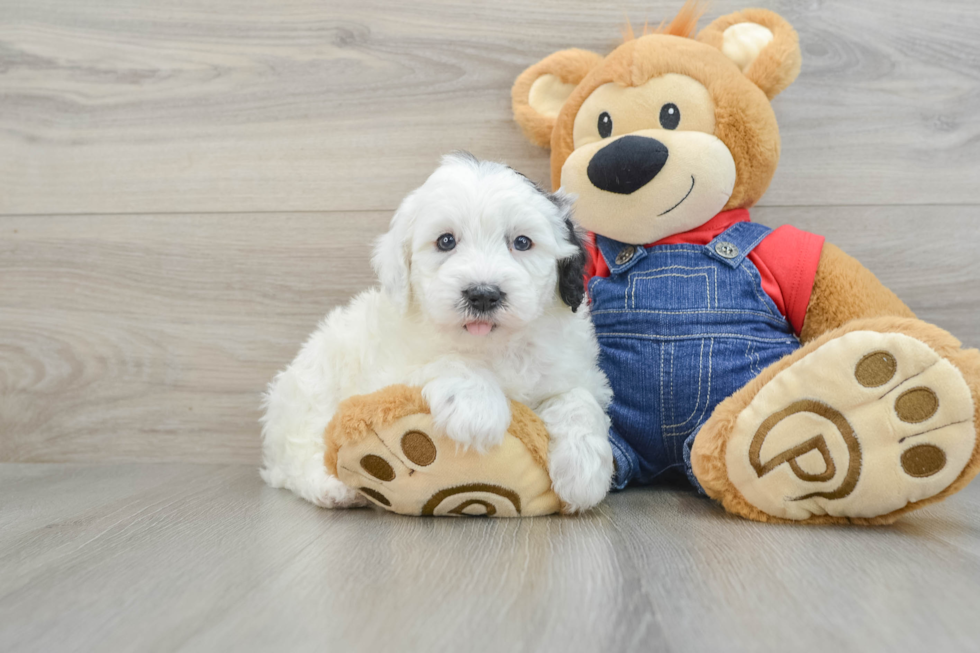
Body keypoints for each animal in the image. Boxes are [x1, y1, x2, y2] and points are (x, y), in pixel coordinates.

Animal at [260, 155, 612, 512]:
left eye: (522, 242)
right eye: (446, 241)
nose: (482, 294)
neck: (492, 344)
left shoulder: (574, 369)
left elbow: (579, 399)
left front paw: (585, 469)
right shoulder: (388, 371)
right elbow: (445, 362)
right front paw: (477, 409)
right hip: (312, 388)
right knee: (299, 452)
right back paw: (333, 488)